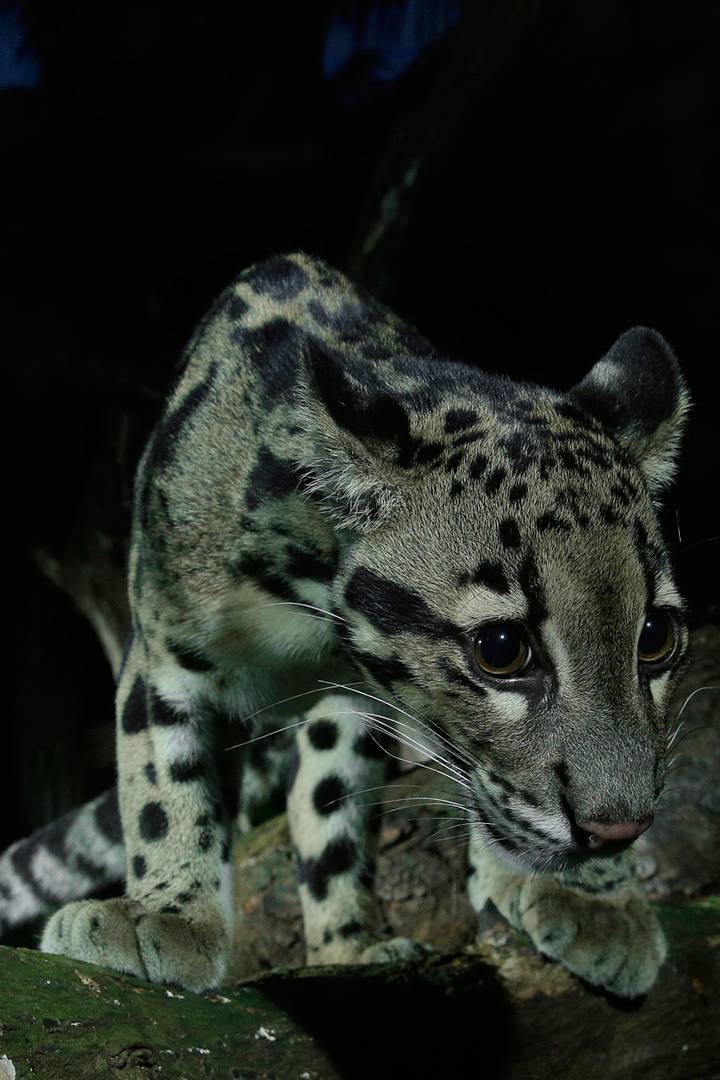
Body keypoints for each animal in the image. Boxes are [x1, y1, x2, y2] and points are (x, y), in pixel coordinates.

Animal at [0, 252, 690, 997]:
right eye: (503, 649)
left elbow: (339, 809)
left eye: (656, 637)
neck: (313, 619)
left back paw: (351, 947)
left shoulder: (363, 704)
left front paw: (591, 897)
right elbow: (162, 778)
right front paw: (167, 914)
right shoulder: (161, 645)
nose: (618, 833)